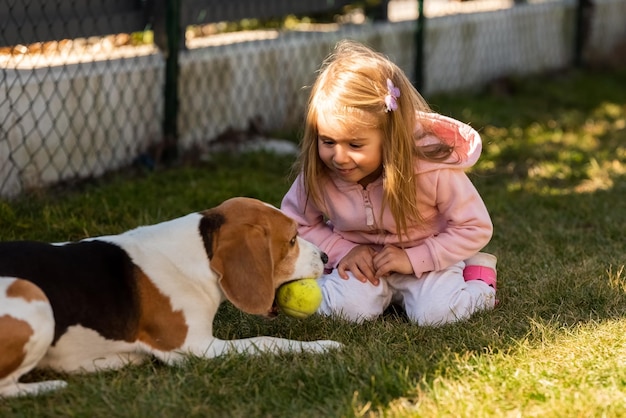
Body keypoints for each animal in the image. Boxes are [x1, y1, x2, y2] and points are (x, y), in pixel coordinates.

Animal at [0, 198, 338, 396]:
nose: (326, 257)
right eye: (292, 240)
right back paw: (51, 385)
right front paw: (323, 346)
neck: (200, 252)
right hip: (33, 295)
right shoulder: (195, 348)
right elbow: (270, 341)